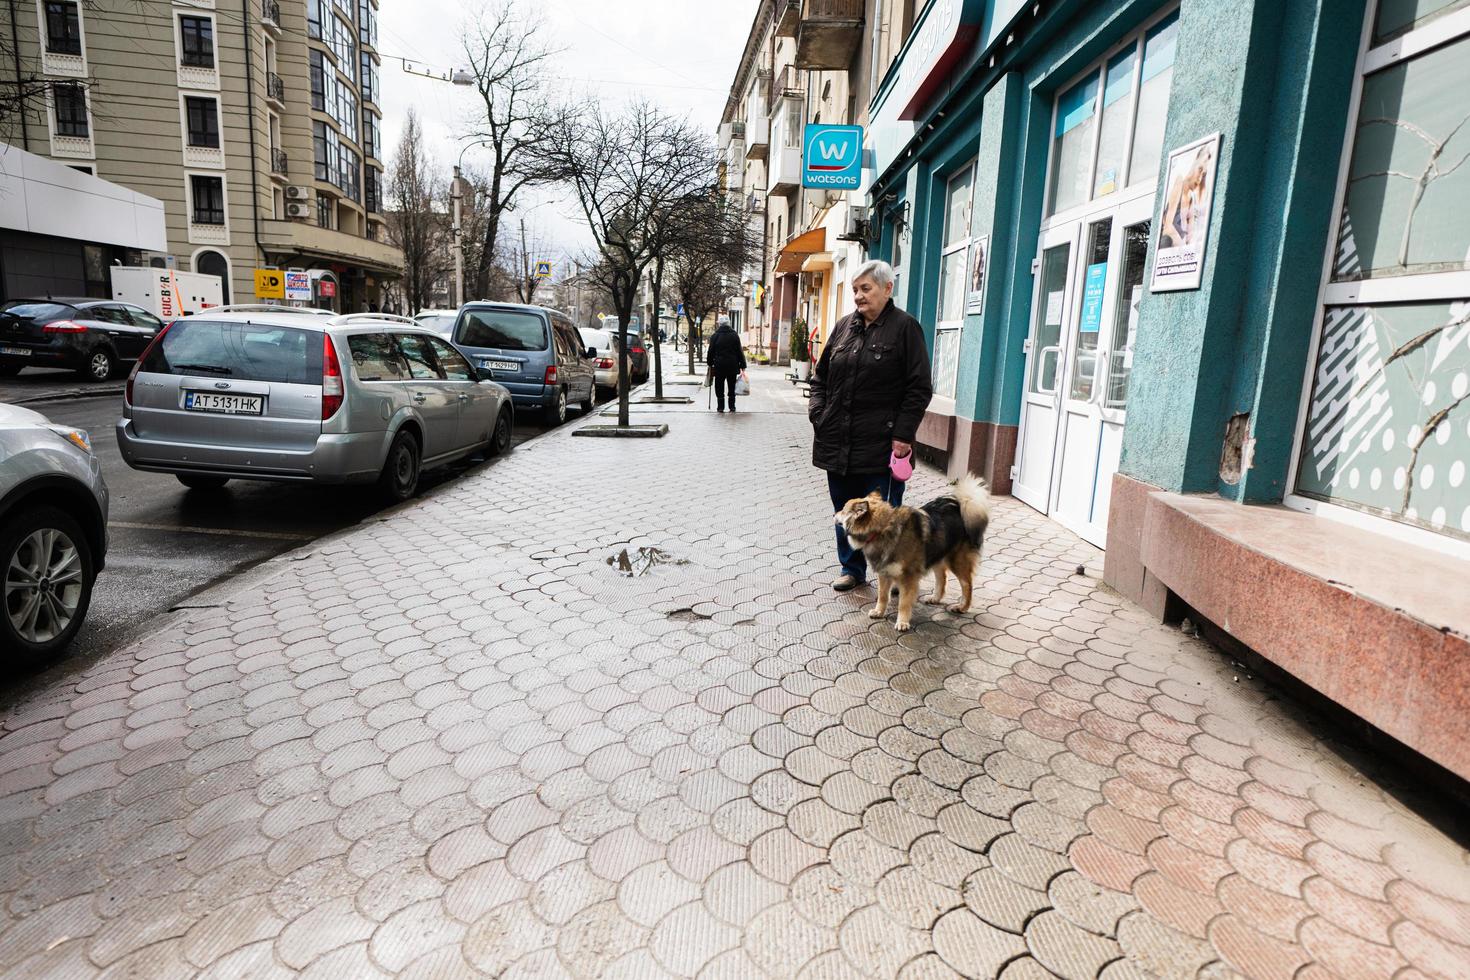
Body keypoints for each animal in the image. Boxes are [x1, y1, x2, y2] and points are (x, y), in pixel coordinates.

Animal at [834, 476, 993, 631]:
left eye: (842, 510)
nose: (834, 514)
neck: (883, 529)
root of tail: (961, 505)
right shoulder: (884, 573)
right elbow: (882, 596)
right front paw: (879, 611)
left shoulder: (908, 577)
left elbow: (903, 603)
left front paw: (902, 622)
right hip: (936, 552)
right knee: (941, 577)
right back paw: (935, 598)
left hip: (957, 561)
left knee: (967, 584)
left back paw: (962, 607)